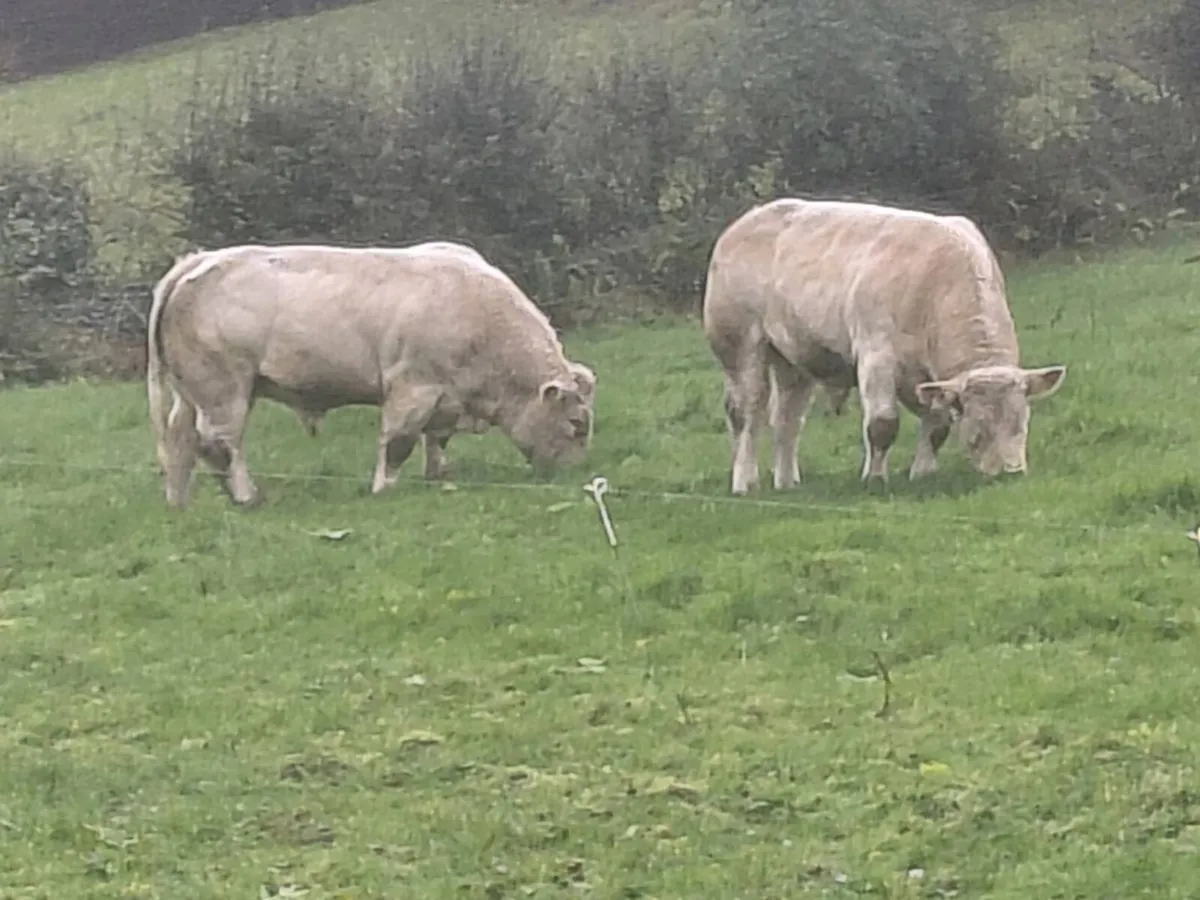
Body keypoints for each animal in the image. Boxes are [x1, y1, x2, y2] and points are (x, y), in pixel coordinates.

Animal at [146, 240, 597, 509]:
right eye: (576, 424)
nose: (575, 473)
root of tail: (201, 259)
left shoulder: (446, 399)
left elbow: (437, 439)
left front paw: (438, 476)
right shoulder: (413, 388)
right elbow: (397, 443)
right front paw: (384, 489)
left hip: (192, 393)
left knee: (180, 440)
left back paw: (178, 501)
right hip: (224, 389)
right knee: (219, 444)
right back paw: (247, 496)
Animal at [701, 198, 1067, 495]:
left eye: (1022, 423)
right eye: (978, 430)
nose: (1009, 472)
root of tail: (743, 222)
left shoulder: (926, 380)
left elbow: (938, 426)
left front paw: (924, 473)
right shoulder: (876, 357)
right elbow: (882, 425)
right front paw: (875, 478)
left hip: (795, 359)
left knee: (787, 418)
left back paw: (787, 481)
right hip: (740, 347)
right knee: (747, 413)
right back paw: (744, 482)